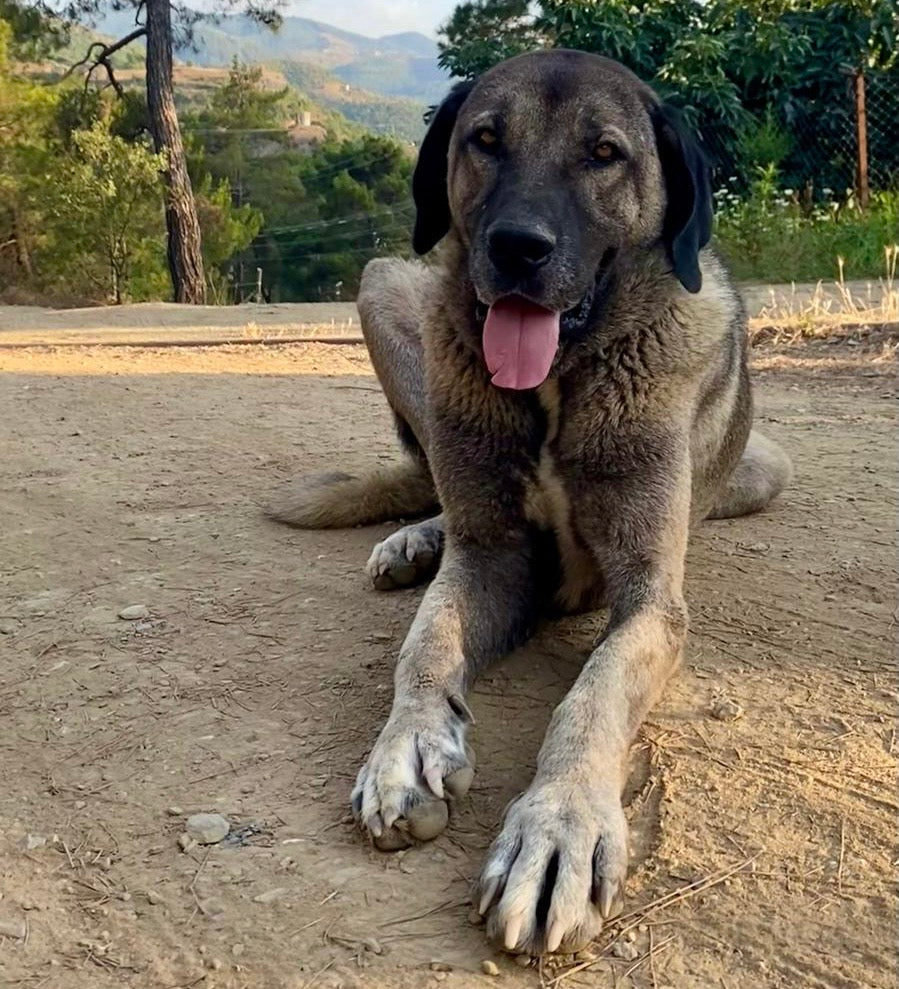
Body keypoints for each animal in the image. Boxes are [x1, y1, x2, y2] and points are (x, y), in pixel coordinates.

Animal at [268, 49, 792, 956]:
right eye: (485, 139)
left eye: (604, 153)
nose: (517, 248)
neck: (558, 380)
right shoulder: (496, 558)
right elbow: (425, 645)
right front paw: (404, 747)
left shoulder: (650, 600)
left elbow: (593, 693)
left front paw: (556, 828)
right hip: (391, 288)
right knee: (438, 485)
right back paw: (417, 538)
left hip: (761, 468)